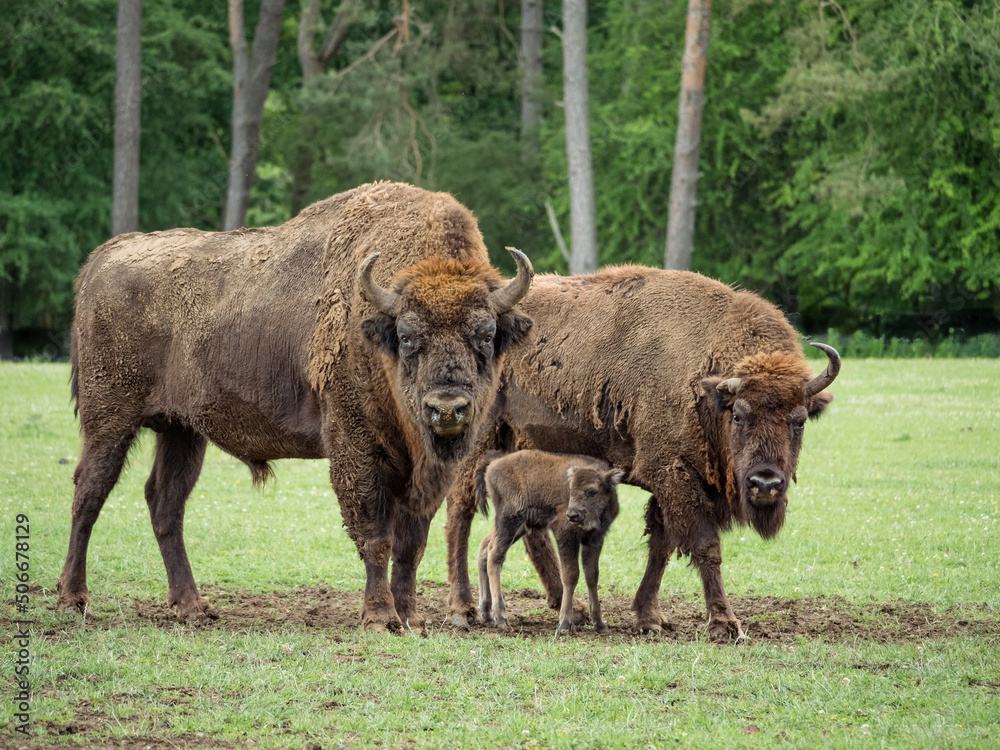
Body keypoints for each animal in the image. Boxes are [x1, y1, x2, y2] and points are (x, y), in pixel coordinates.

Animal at [57, 184, 536, 636]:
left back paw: (192, 607)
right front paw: (380, 617)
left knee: (165, 502)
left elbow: (410, 545)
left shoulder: (429, 473)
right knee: (89, 491)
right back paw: (73, 599)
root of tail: (102, 258)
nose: (447, 409)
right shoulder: (355, 447)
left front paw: (411, 619)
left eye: (486, 335)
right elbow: (375, 536)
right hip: (110, 418)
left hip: (180, 430)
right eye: (406, 337)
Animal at [472, 452, 620, 636]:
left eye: (592, 492)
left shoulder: (594, 539)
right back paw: (501, 618)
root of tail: (494, 464)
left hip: (520, 527)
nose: (572, 514)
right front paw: (564, 624)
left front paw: (599, 624)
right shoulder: (565, 536)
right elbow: (570, 575)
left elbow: (592, 576)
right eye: (571, 490)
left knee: (485, 547)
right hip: (509, 520)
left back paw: (486, 614)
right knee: (495, 556)